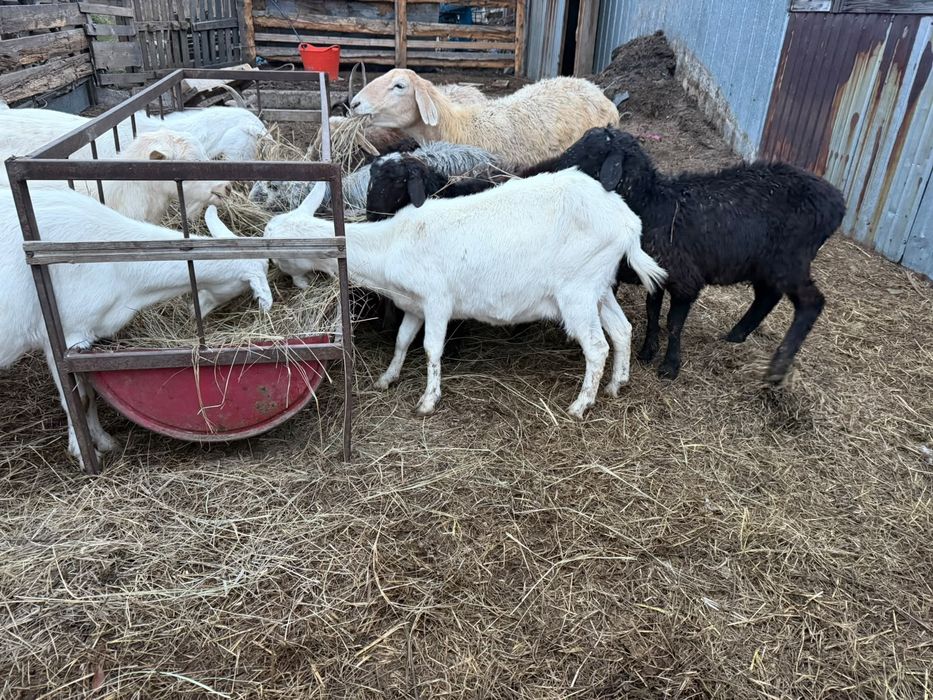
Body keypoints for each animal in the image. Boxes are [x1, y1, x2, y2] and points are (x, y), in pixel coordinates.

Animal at [0, 188, 272, 469]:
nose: (192, 310)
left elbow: (89, 396)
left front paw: (105, 441)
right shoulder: (64, 335)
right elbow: (78, 400)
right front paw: (85, 455)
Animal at [263, 170, 666, 417]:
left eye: (276, 244)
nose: (270, 270)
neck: (392, 243)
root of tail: (628, 223)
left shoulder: (437, 301)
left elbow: (431, 348)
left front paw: (428, 400)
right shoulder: (415, 306)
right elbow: (402, 340)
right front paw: (387, 378)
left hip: (577, 291)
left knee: (597, 346)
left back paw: (581, 404)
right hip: (598, 285)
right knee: (622, 330)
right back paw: (617, 384)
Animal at [527, 127, 846, 383]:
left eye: (588, 153)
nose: (543, 172)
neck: (651, 204)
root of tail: (837, 202)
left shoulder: (686, 281)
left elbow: (673, 323)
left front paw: (670, 366)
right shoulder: (656, 277)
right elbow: (653, 312)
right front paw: (647, 351)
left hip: (790, 261)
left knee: (810, 303)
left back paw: (778, 366)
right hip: (763, 264)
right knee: (767, 296)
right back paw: (736, 336)